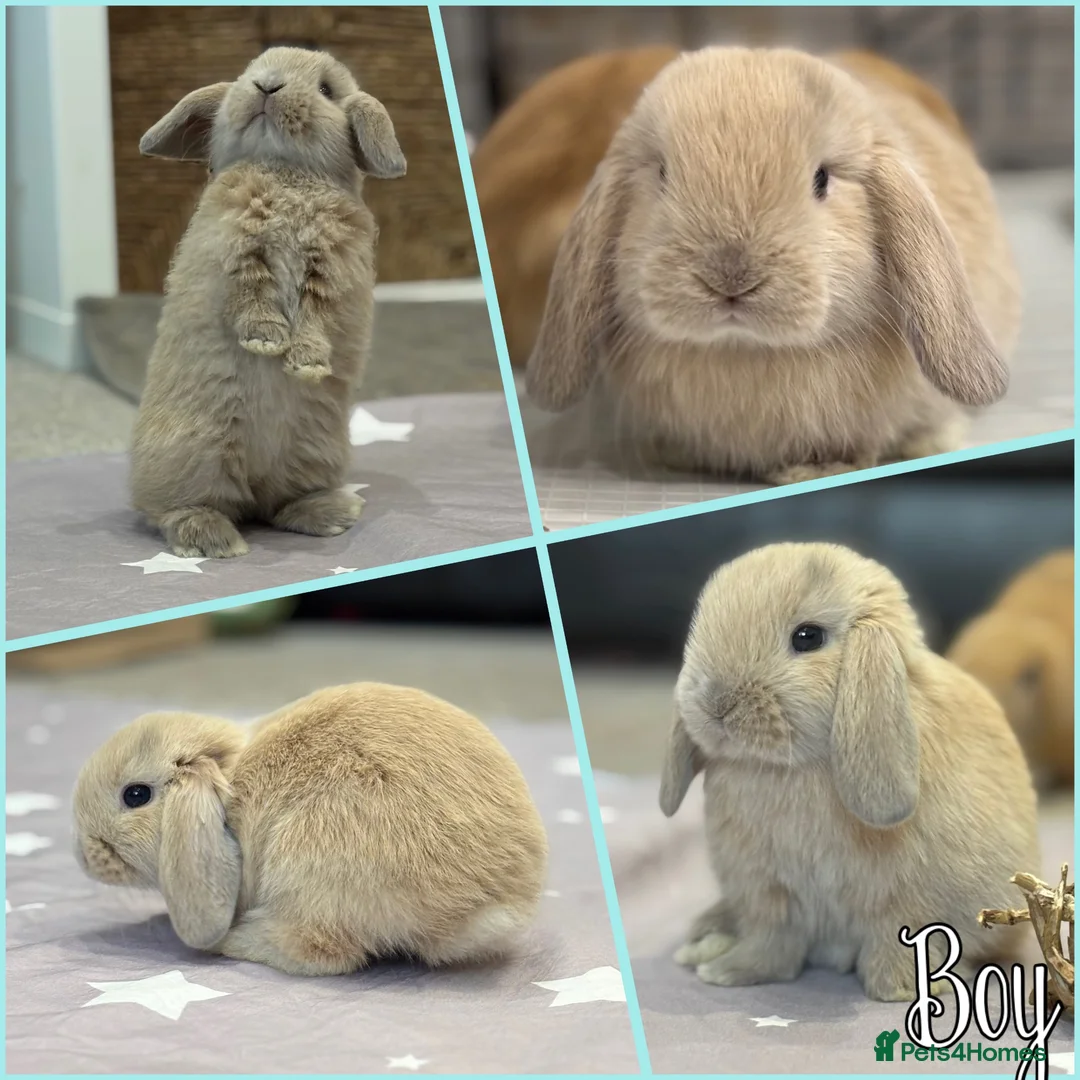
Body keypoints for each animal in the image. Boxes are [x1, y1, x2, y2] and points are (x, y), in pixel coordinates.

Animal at [72, 683, 549, 976]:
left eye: (135, 795)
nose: (83, 854)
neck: (228, 775)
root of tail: (493, 905)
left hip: (310, 871)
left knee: (325, 953)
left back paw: (234, 941)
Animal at [130, 47, 407, 559]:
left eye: (326, 90)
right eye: (247, 72)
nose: (266, 85)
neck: (284, 170)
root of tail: (253, 483)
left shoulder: (330, 274)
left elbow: (315, 319)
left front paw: (306, 365)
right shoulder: (238, 253)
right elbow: (253, 297)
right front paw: (265, 343)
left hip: (315, 452)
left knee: (279, 508)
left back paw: (330, 513)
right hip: (193, 451)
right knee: (174, 510)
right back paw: (212, 540)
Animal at [659, 543, 1039, 1001]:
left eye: (808, 637)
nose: (716, 703)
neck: (795, 766)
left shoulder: (906, 899)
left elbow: (898, 939)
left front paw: (899, 991)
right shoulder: (767, 889)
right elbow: (773, 943)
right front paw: (730, 972)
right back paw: (703, 943)